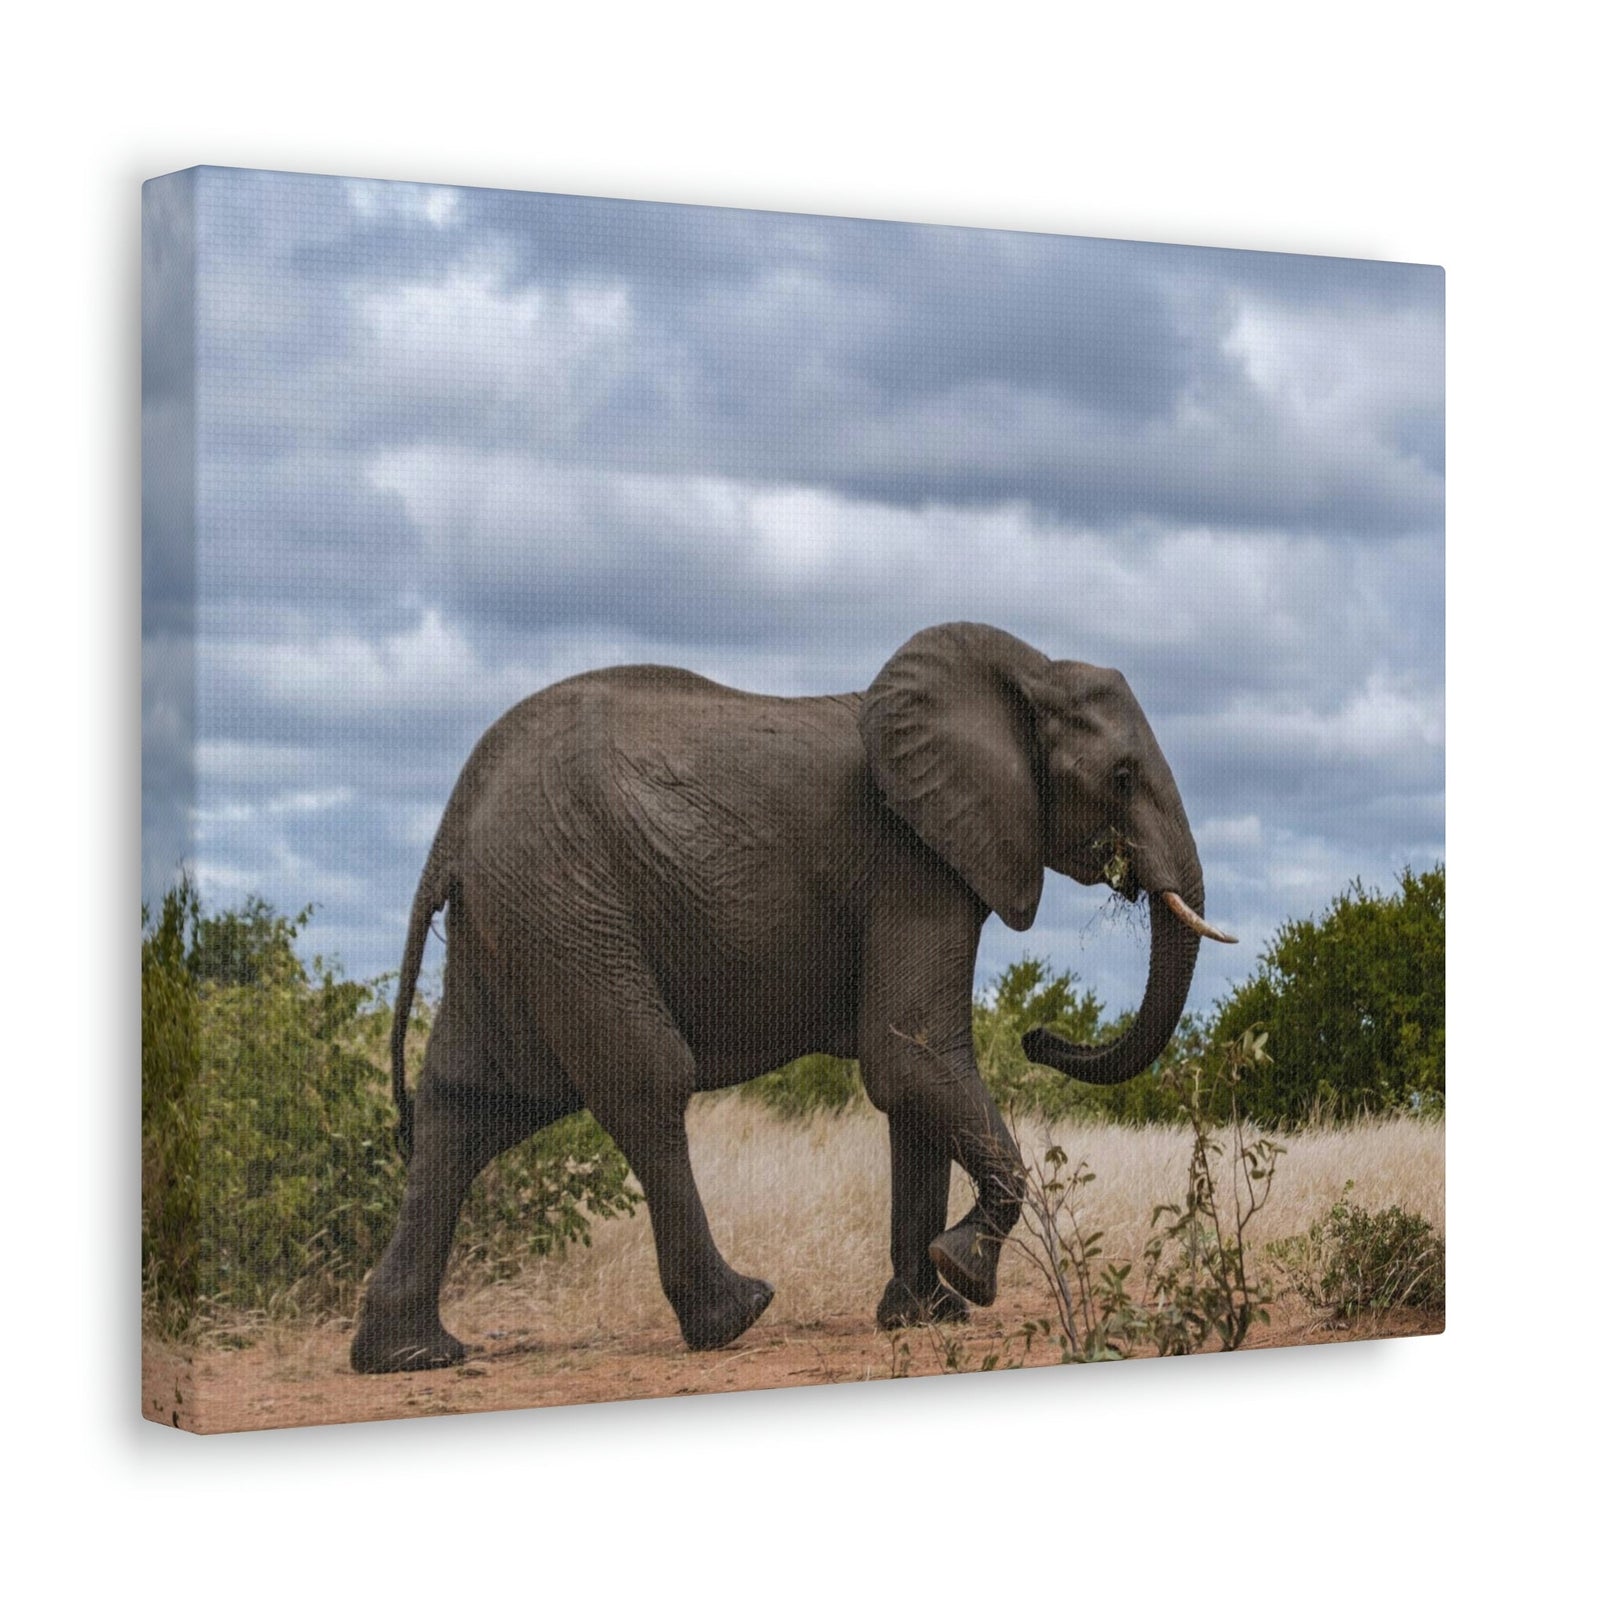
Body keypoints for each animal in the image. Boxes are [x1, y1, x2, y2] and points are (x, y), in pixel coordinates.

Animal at [350, 622, 1234, 1373]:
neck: (1024, 670)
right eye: (1122, 777)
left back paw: (410, 1355)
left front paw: (922, 1315)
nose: (1039, 1037)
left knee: (471, 1103)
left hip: (516, 913)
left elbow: (912, 1080)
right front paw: (965, 1277)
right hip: (566, 898)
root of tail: (457, 815)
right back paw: (735, 1316)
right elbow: (909, 1054)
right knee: (645, 1080)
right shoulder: (910, 859)